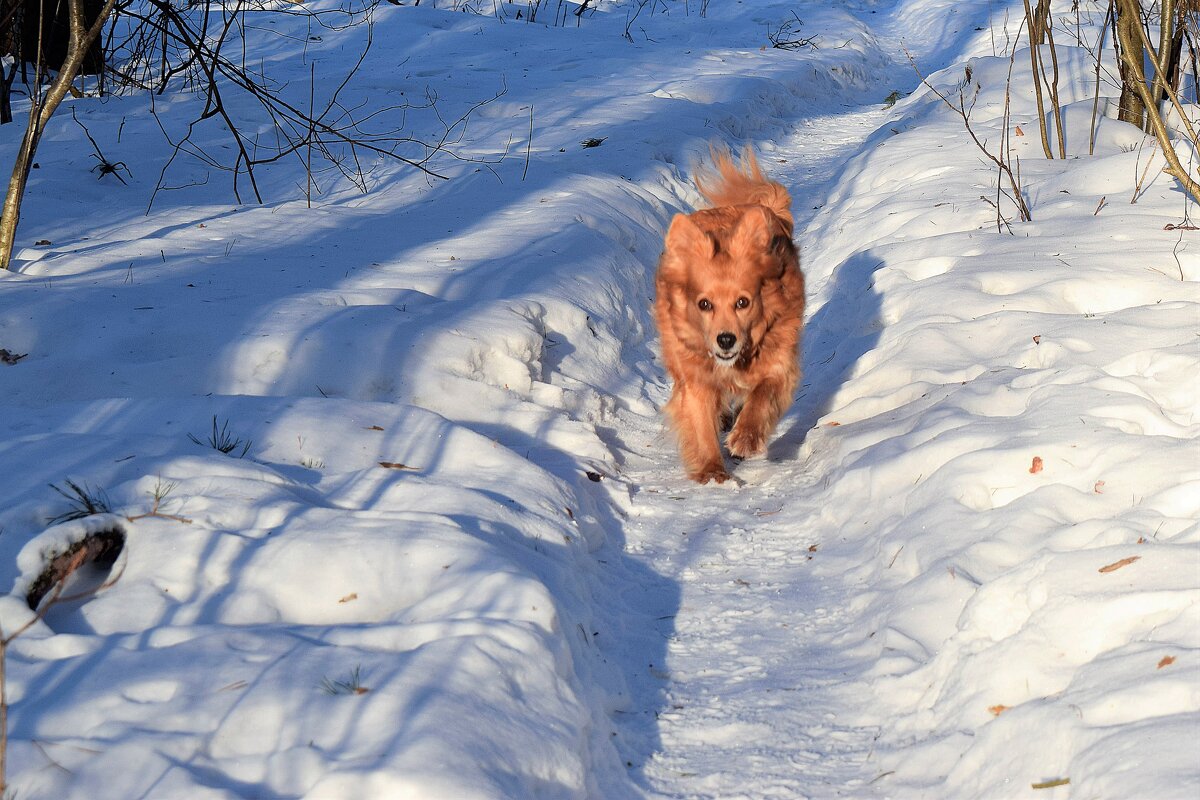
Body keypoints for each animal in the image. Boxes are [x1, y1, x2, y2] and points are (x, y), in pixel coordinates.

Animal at [657, 148, 806, 489]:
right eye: (704, 304)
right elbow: (700, 423)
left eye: (743, 302)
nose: (726, 339)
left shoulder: (780, 363)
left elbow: (762, 396)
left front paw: (745, 438)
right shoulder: (695, 378)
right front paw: (712, 472)